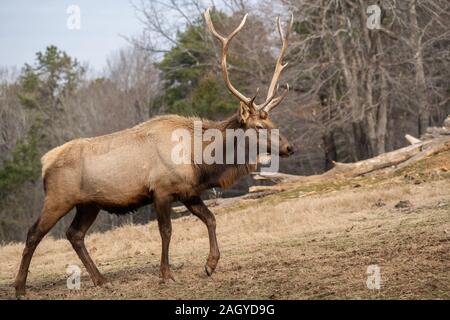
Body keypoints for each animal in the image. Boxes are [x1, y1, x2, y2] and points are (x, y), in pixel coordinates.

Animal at [14, 8, 296, 298]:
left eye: (272, 121)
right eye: (259, 126)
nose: (289, 147)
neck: (200, 161)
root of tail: (44, 163)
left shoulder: (188, 191)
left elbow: (211, 219)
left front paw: (210, 264)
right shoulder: (161, 189)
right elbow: (166, 231)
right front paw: (166, 274)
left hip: (88, 203)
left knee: (74, 234)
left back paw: (101, 280)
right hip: (58, 198)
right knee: (34, 233)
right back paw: (20, 287)